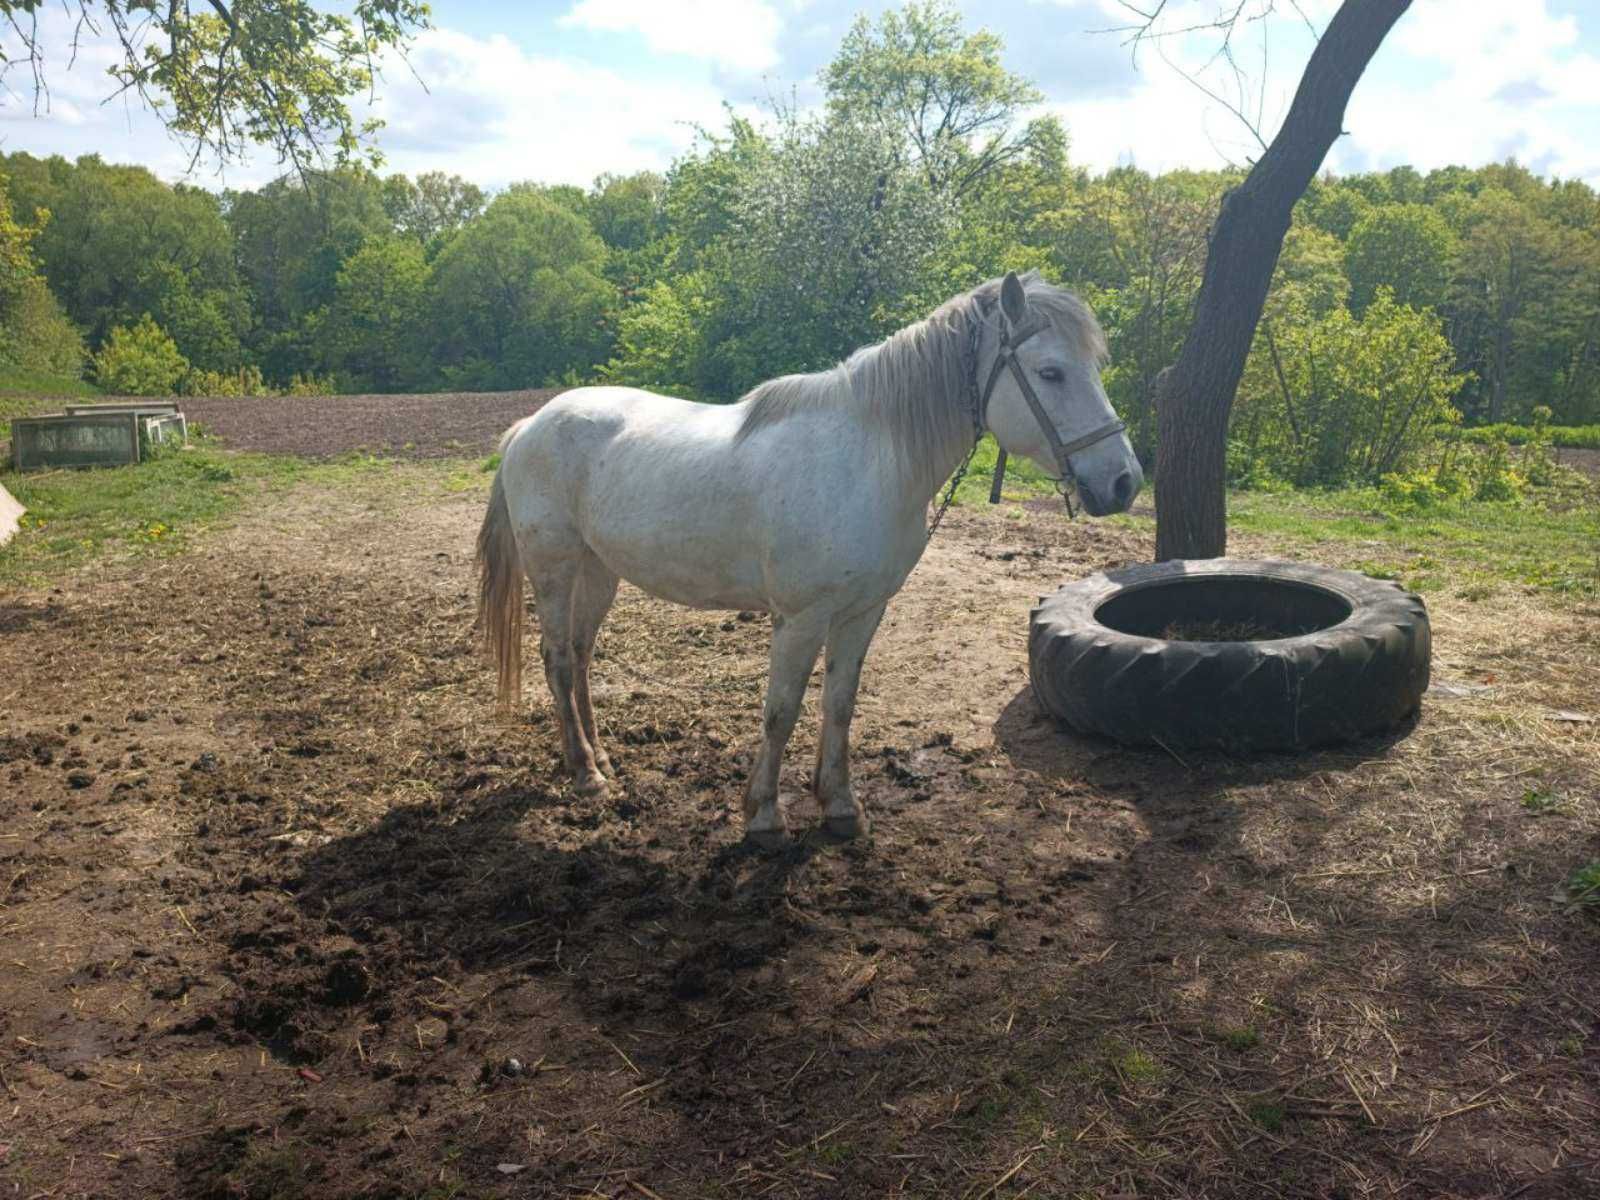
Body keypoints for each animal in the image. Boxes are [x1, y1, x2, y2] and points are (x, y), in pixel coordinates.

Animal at [473, 272, 1139, 844]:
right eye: (1050, 372)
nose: (1124, 482)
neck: (868, 462)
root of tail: (531, 424)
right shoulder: (801, 619)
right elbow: (782, 709)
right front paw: (764, 816)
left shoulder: (862, 612)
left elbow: (838, 703)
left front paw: (840, 806)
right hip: (555, 570)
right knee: (559, 659)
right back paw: (585, 774)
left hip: (599, 570)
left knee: (582, 654)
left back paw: (602, 756)